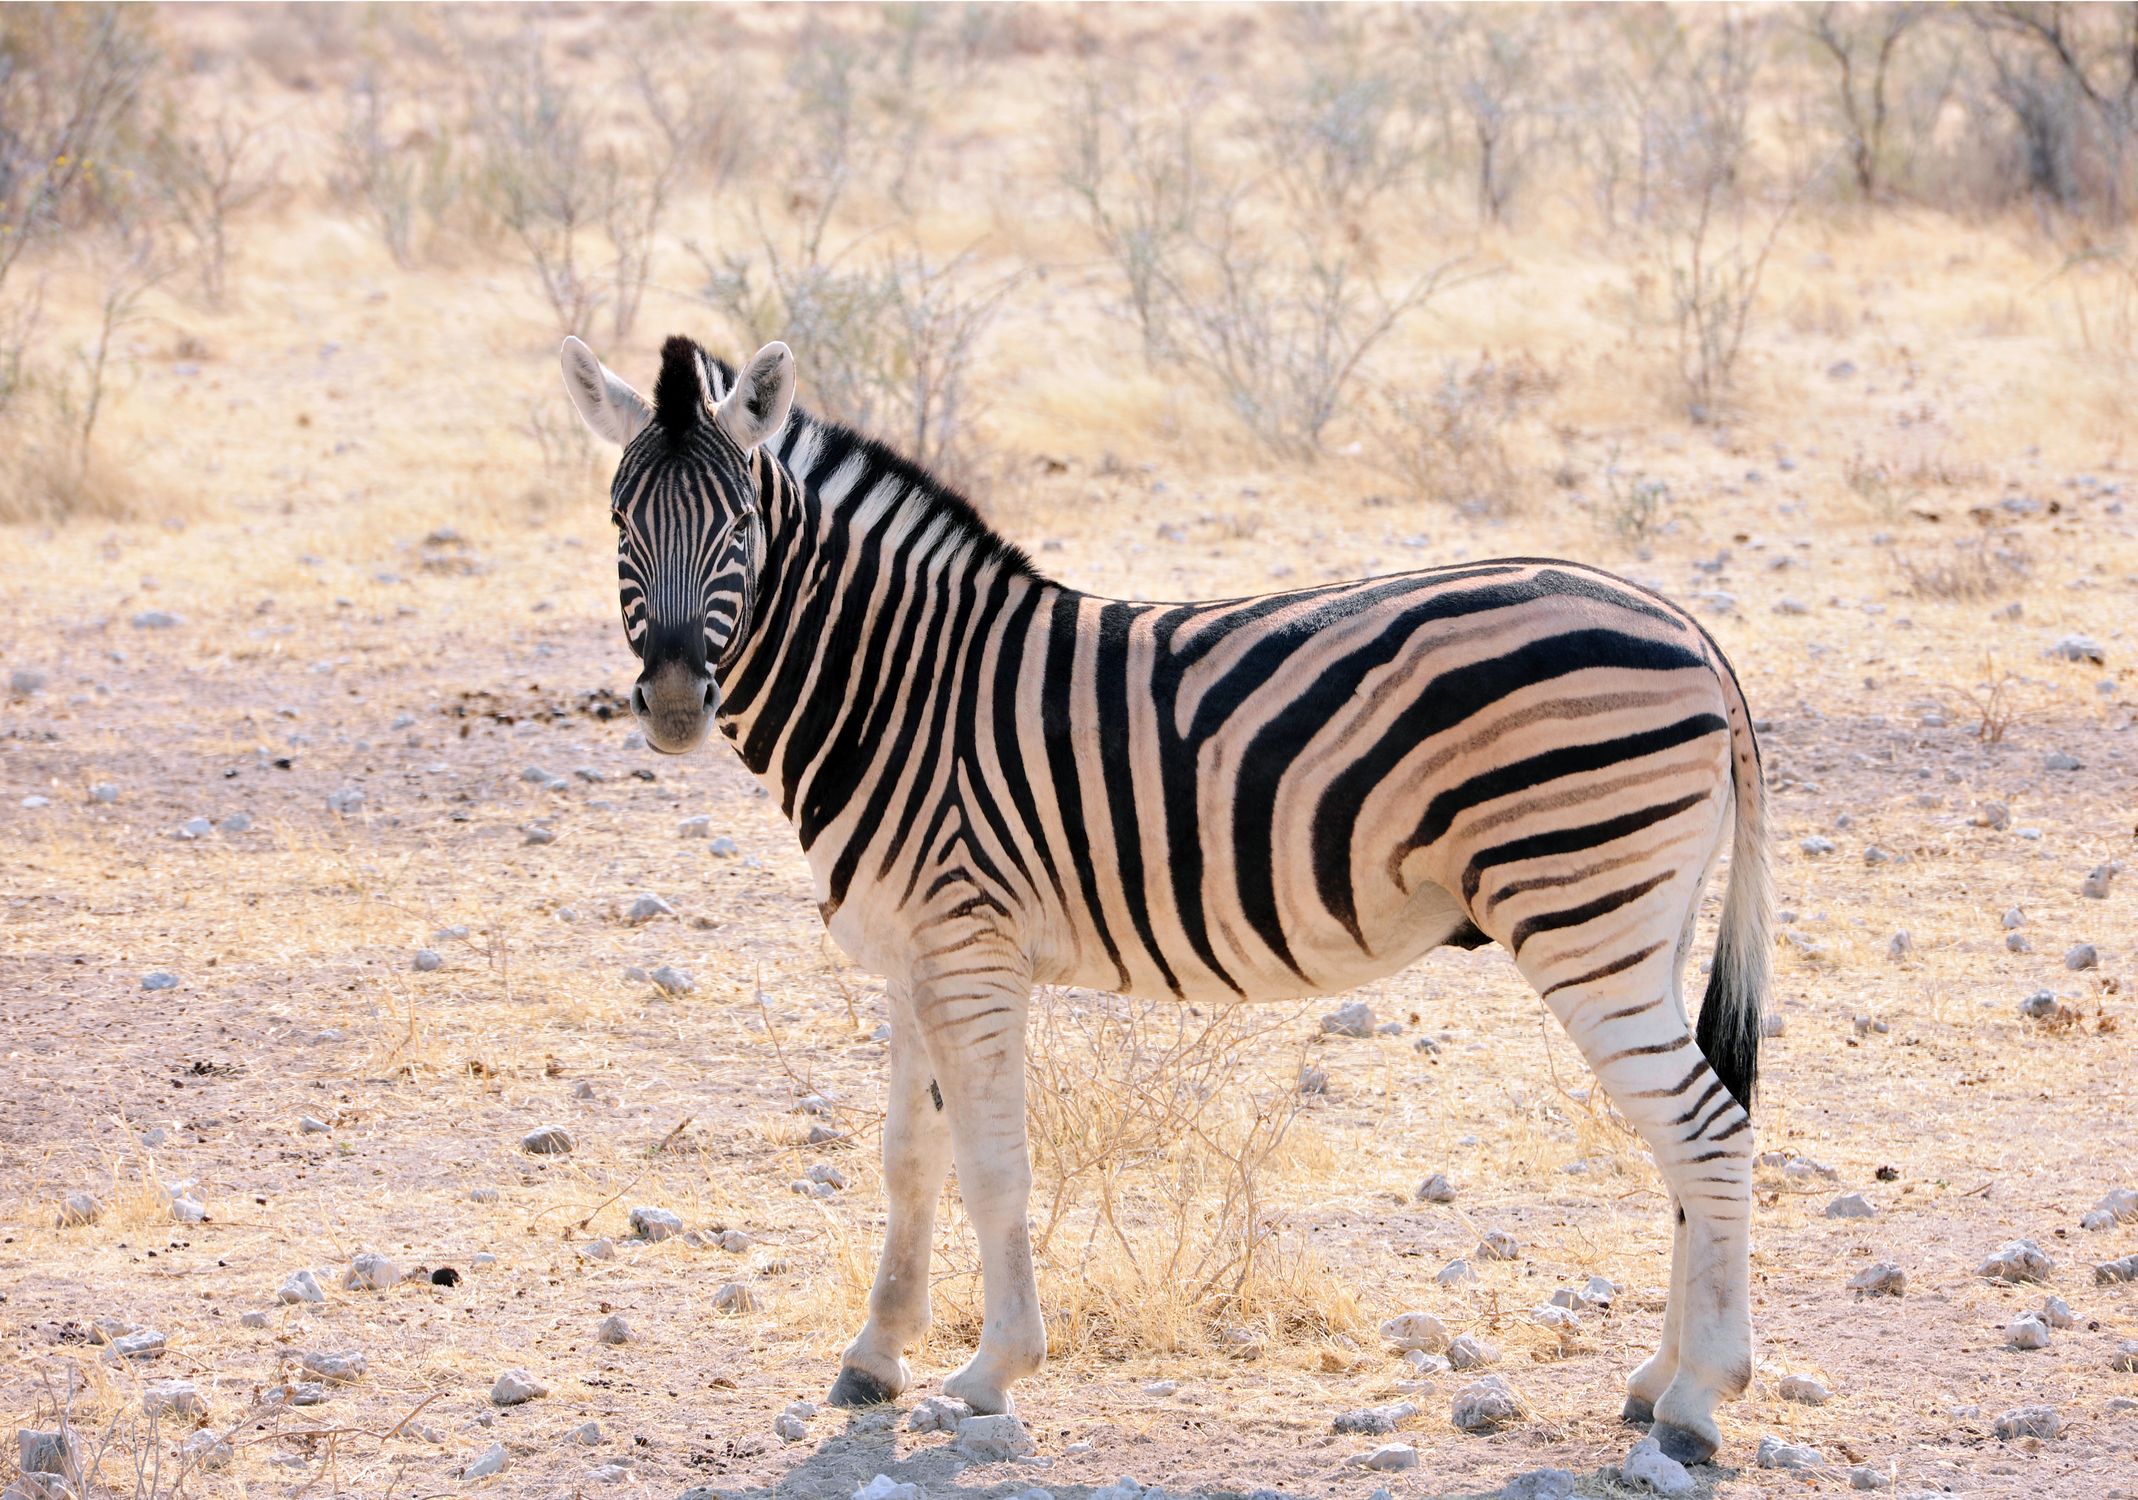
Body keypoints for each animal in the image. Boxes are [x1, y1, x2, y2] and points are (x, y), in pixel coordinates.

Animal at [559, 332, 1770, 1464]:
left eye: (738, 525)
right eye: (617, 520)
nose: (675, 703)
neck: (897, 688)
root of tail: (1688, 628)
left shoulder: (967, 951)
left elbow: (994, 1165)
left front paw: (993, 1370)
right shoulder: (912, 958)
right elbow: (909, 1162)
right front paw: (874, 1356)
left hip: (1581, 912)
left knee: (1707, 1132)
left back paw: (1697, 1406)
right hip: (1641, 925)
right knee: (1684, 1139)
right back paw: (1654, 1381)